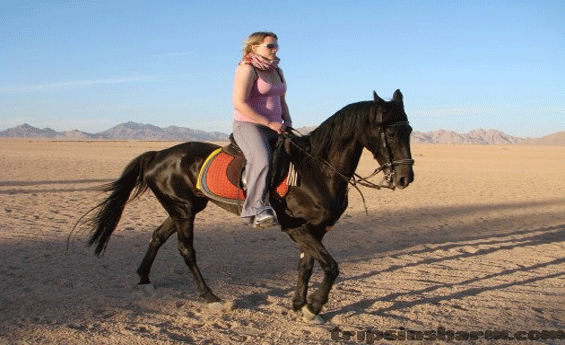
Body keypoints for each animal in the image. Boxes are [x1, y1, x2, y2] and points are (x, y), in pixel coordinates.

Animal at [87, 89, 414, 322]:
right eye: (391, 132)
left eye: (410, 130)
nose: (405, 178)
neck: (317, 169)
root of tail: (158, 155)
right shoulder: (295, 227)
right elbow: (331, 267)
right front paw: (314, 307)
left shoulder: (318, 229)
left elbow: (307, 266)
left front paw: (299, 305)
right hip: (183, 210)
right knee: (186, 250)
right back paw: (210, 297)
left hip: (184, 208)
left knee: (157, 236)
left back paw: (144, 279)